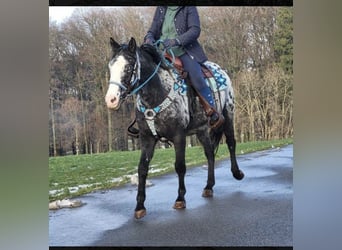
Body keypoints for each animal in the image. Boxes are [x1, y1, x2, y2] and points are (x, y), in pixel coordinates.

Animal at [104, 37, 243, 219]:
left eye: (128, 67)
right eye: (110, 67)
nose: (111, 100)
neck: (157, 93)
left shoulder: (179, 136)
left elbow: (180, 166)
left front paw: (180, 198)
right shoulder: (147, 138)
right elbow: (142, 169)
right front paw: (139, 206)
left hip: (228, 115)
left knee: (231, 143)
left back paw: (237, 173)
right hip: (202, 130)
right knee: (210, 154)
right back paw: (208, 186)